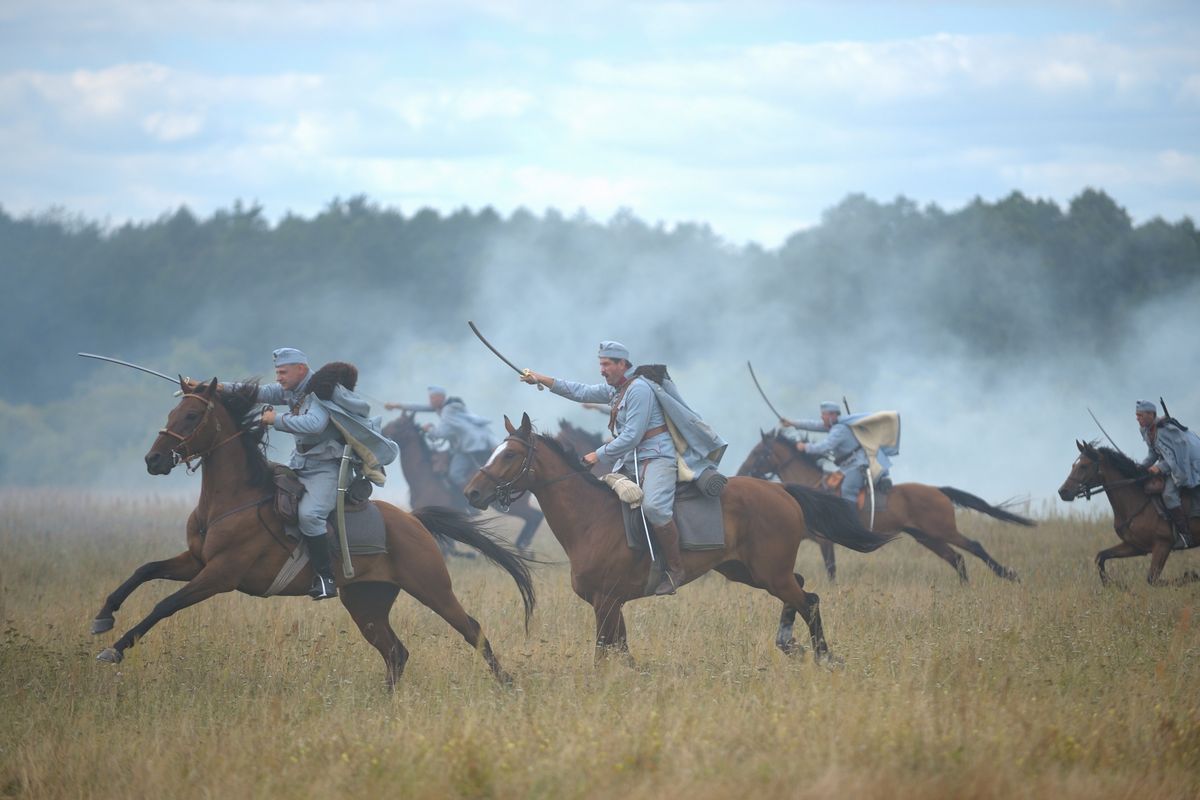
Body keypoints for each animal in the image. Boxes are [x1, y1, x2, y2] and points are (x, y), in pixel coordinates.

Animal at [379, 410, 544, 554]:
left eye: (400, 424)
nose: (382, 431)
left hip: (517, 507)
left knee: (535, 516)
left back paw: (523, 546)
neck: (425, 477)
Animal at [463, 412, 897, 662]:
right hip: (747, 571)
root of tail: (781, 490)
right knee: (804, 589)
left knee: (810, 601)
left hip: (769, 573)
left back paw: (822, 656)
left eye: (509, 455)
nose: (471, 493)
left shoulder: (605, 603)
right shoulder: (613, 605)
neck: (591, 519)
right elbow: (623, 654)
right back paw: (789, 643)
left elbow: (605, 655)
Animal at [734, 431, 1036, 582]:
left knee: (973, 546)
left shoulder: (825, 542)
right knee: (957, 558)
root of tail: (938, 490)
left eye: (758, 452)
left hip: (943, 530)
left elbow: (831, 571)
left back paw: (1008, 575)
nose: (742, 471)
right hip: (927, 537)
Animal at [1056, 441, 1195, 585]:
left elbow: (1152, 579)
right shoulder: (1135, 546)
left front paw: (1191, 575)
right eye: (1074, 465)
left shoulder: (1163, 544)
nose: (1063, 491)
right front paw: (1113, 585)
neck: (1137, 501)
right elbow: (1101, 556)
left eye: (1083, 466)